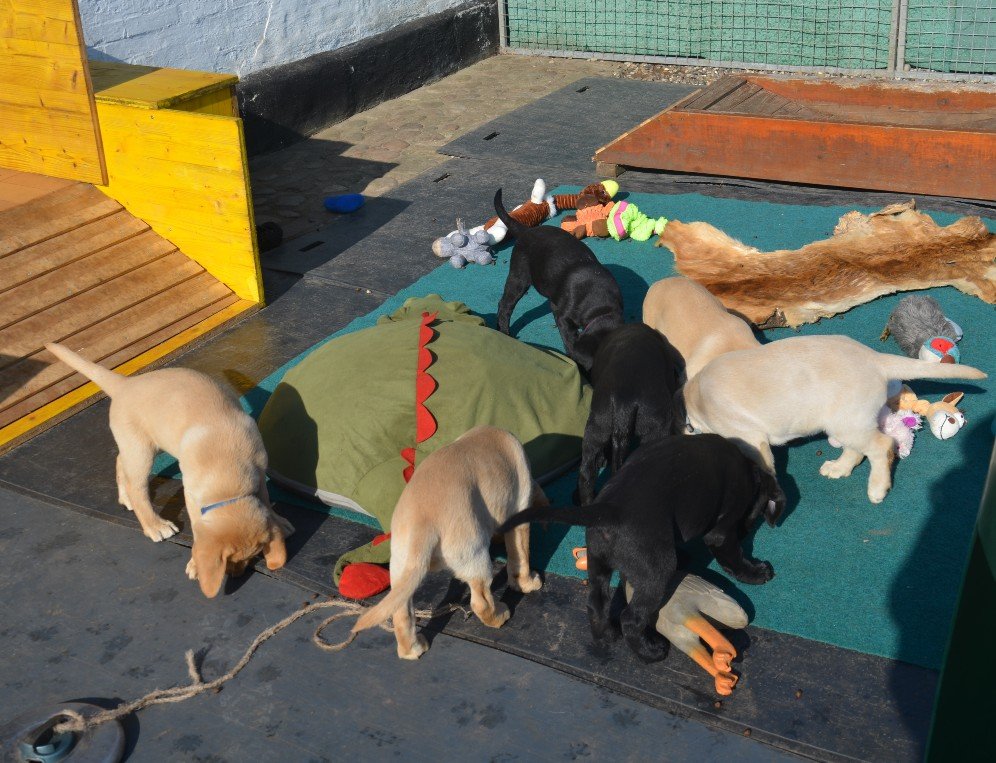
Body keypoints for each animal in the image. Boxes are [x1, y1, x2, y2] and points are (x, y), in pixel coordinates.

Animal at [46, 343, 293, 597]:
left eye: (252, 556)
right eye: (228, 560)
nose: (236, 573)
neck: (229, 480)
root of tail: (125, 384)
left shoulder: (259, 471)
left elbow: (265, 498)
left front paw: (277, 520)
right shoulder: (192, 493)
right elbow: (197, 528)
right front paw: (195, 563)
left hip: (135, 446)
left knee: (119, 461)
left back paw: (125, 497)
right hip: (141, 451)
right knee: (137, 486)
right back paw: (154, 524)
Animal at [352, 426, 545, 659]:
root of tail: (422, 522)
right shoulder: (519, 515)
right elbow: (521, 557)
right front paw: (527, 583)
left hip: (401, 568)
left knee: (401, 613)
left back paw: (413, 649)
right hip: (475, 556)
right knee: (481, 602)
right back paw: (500, 615)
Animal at [493, 189, 623, 373]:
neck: (601, 308)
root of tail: (527, 231)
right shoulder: (563, 317)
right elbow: (570, 339)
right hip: (519, 276)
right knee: (505, 305)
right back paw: (504, 332)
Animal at [498, 434, 781, 663]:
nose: (747, 530)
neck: (748, 470)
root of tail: (607, 509)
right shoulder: (722, 532)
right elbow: (733, 556)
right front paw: (756, 573)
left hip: (598, 562)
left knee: (596, 603)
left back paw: (606, 636)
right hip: (657, 573)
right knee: (631, 618)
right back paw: (650, 652)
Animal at [678, 335, 987, 503]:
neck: (698, 396)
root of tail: (875, 359)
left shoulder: (751, 439)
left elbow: (765, 469)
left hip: (847, 422)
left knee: (882, 446)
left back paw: (877, 487)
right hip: (848, 420)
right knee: (858, 450)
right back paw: (840, 468)